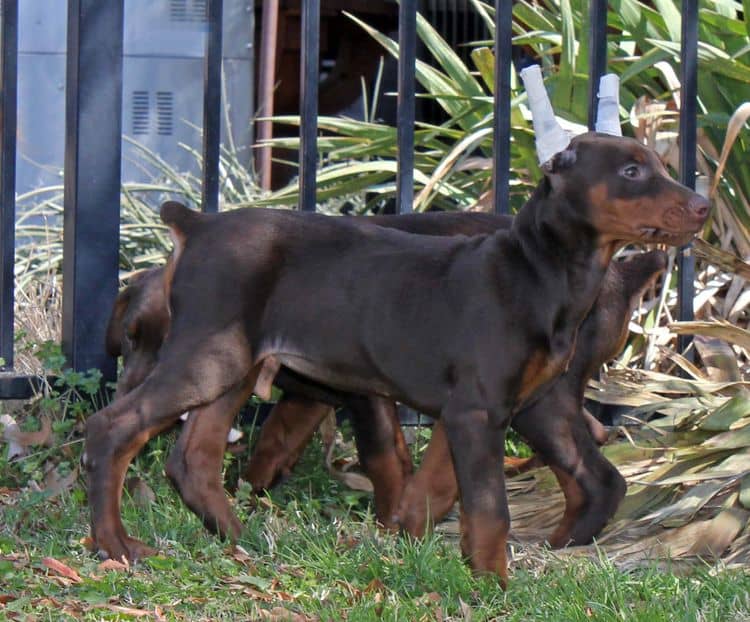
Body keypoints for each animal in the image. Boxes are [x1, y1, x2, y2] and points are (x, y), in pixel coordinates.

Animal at [88, 133, 712, 584]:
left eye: (655, 165)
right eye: (630, 172)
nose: (705, 206)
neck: (540, 267)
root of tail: (199, 223)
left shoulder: (482, 411)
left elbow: (438, 492)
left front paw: (440, 560)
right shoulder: (477, 411)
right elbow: (488, 506)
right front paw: (494, 586)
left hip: (235, 368)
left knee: (193, 458)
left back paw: (239, 542)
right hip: (211, 357)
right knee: (113, 427)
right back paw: (116, 545)